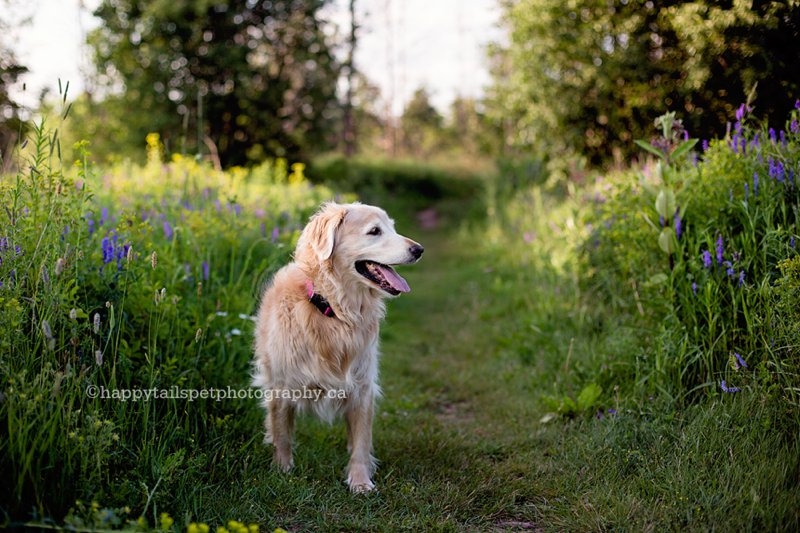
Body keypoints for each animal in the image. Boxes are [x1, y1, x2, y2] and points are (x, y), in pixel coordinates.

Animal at [252, 202, 424, 492]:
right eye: (374, 231)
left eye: (393, 227)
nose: (419, 250)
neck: (334, 310)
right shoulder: (281, 385)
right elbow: (282, 434)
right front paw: (282, 471)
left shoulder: (363, 385)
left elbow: (362, 442)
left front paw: (360, 481)